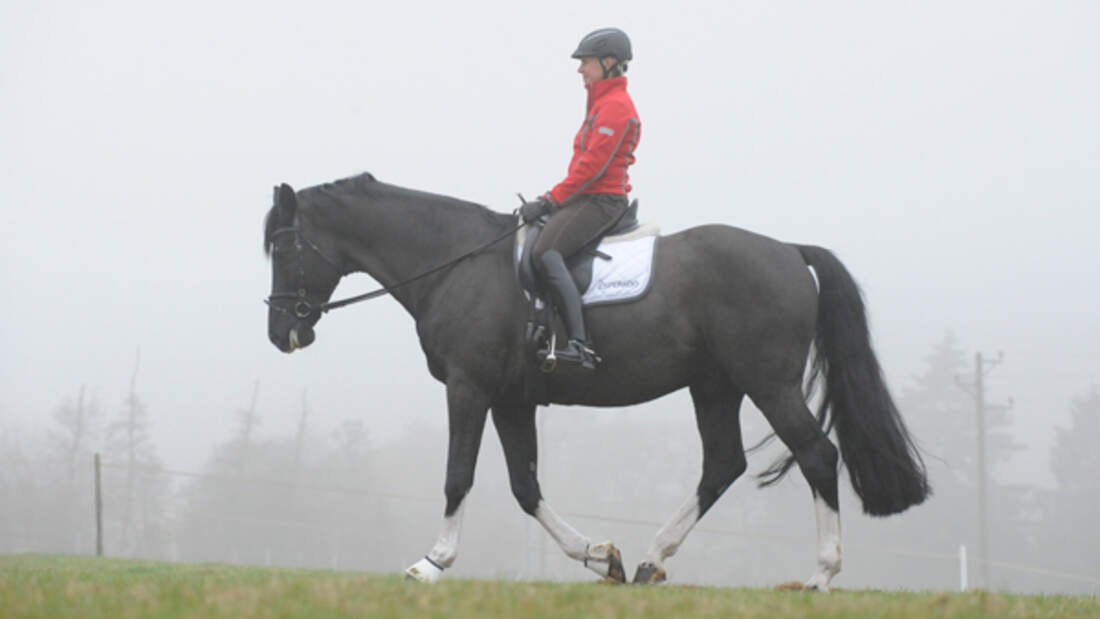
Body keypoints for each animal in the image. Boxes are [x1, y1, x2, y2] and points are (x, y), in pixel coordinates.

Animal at [263, 172, 929, 589]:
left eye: (285, 247)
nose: (280, 333)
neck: (459, 263)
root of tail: (789, 251)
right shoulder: (511, 399)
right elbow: (525, 486)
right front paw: (599, 557)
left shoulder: (469, 387)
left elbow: (458, 476)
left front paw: (433, 563)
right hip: (715, 385)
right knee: (723, 465)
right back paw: (652, 561)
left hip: (768, 383)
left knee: (817, 454)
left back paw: (820, 576)